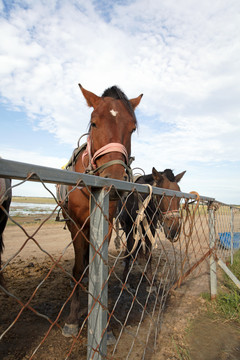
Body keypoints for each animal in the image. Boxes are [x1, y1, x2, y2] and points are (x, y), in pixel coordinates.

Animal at [60, 84, 142, 338]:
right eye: (94, 123)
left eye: (132, 128)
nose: (114, 180)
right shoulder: (76, 226)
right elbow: (78, 268)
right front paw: (72, 319)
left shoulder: (105, 224)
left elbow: (101, 267)